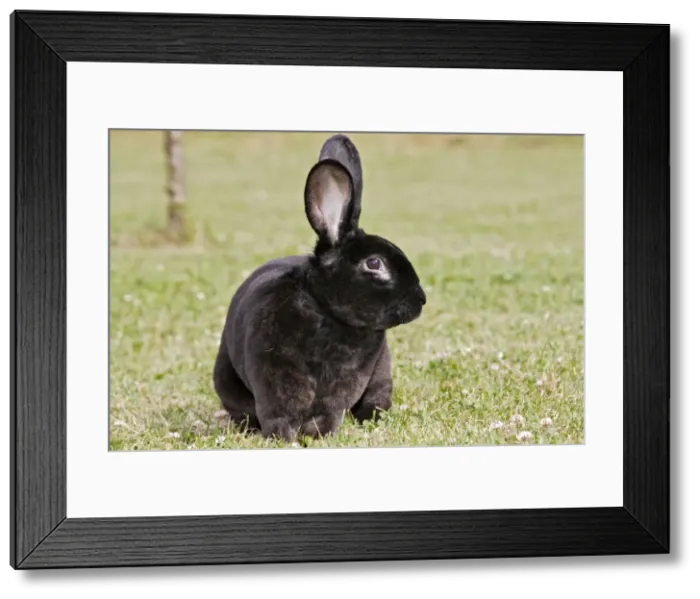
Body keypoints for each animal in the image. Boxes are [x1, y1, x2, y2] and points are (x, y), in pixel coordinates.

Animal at [212, 133, 426, 442]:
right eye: (374, 263)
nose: (421, 299)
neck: (325, 312)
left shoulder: (340, 391)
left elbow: (329, 414)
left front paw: (318, 436)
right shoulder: (273, 385)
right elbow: (278, 415)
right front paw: (283, 440)